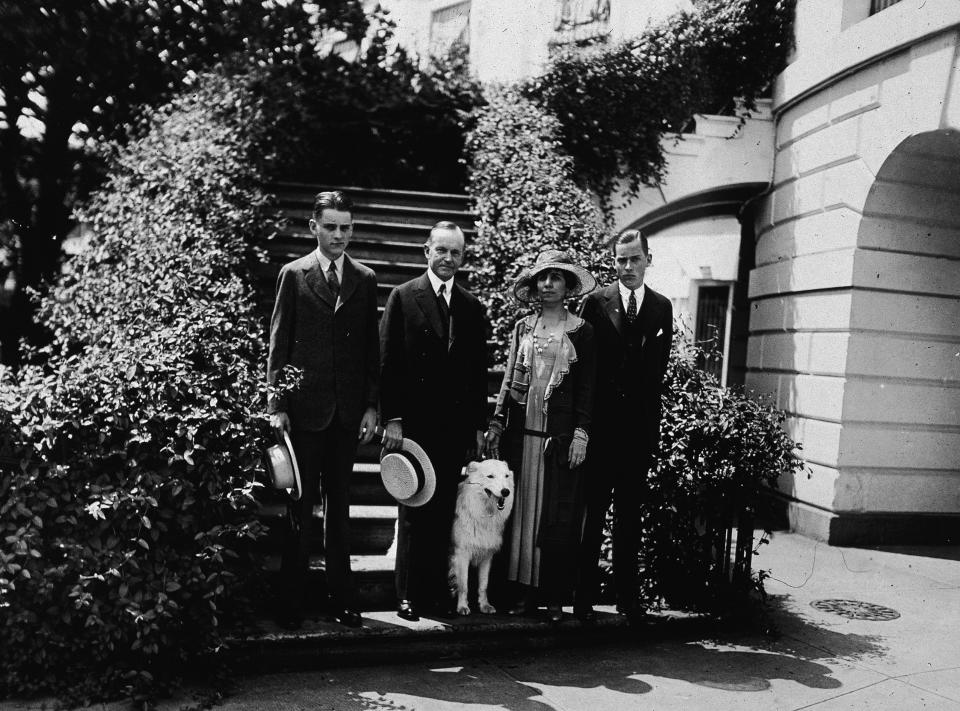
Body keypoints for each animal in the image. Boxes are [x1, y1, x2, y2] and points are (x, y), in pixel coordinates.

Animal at [448, 458, 512, 616]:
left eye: (506, 476)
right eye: (490, 476)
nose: (506, 492)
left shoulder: (487, 557)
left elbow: (483, 585)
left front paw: (484, 605)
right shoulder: (462, 555)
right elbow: (463, 585)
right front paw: (462, 607)